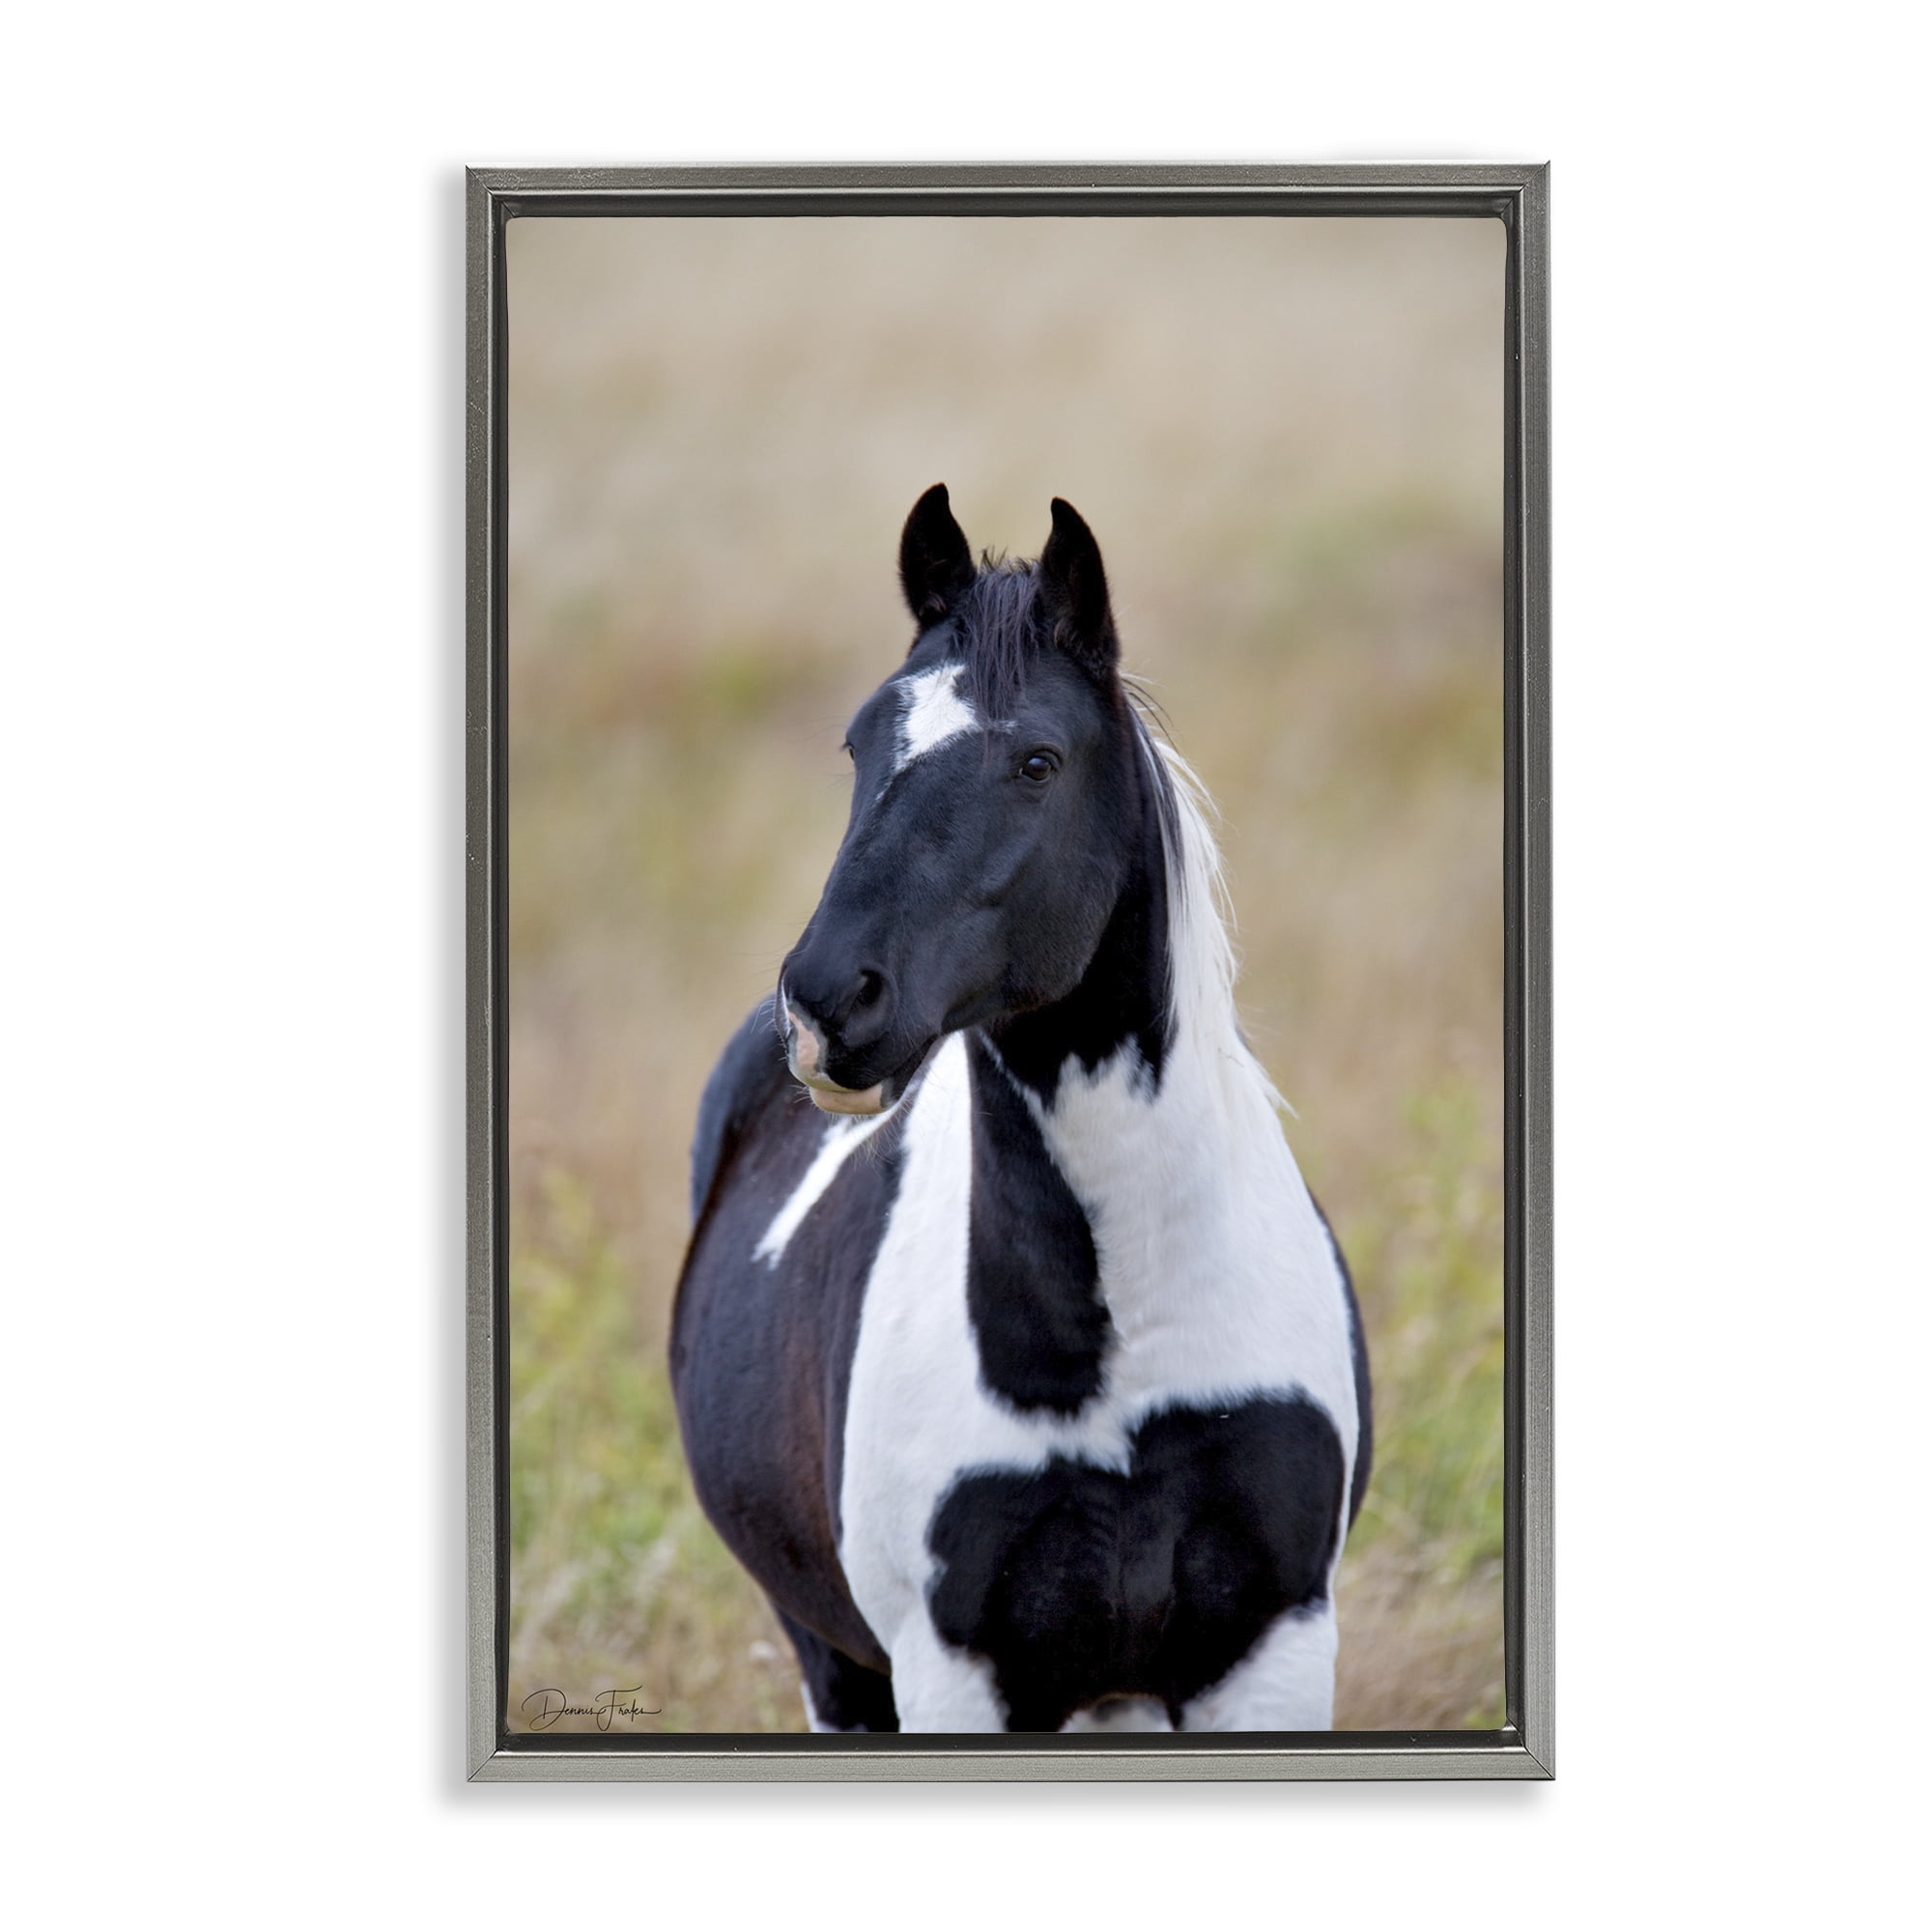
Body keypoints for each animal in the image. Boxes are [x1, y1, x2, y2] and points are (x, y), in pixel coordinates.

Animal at [669, 485, 1371, 1733]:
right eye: (859, 744)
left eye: (1037, 760)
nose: (824, 1002)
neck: (1117, 1353)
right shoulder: (954, 1672)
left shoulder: (1270, 1648)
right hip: (836, 1664)